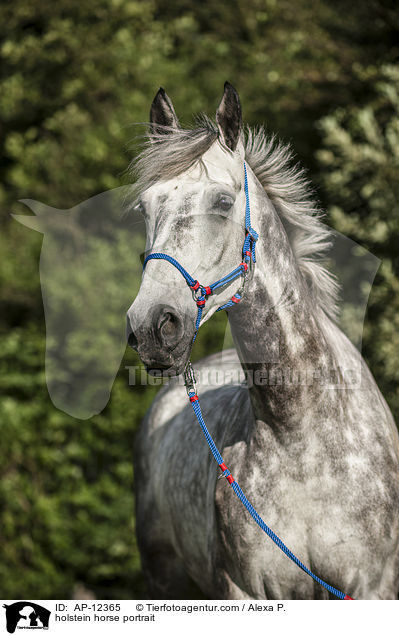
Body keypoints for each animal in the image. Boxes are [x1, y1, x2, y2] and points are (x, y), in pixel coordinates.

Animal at [127, 85, 399, 600]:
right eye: (145, 208)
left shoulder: (372, 587)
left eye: (222, 202)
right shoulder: (246, 591)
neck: (300, 437)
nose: (152, 327)